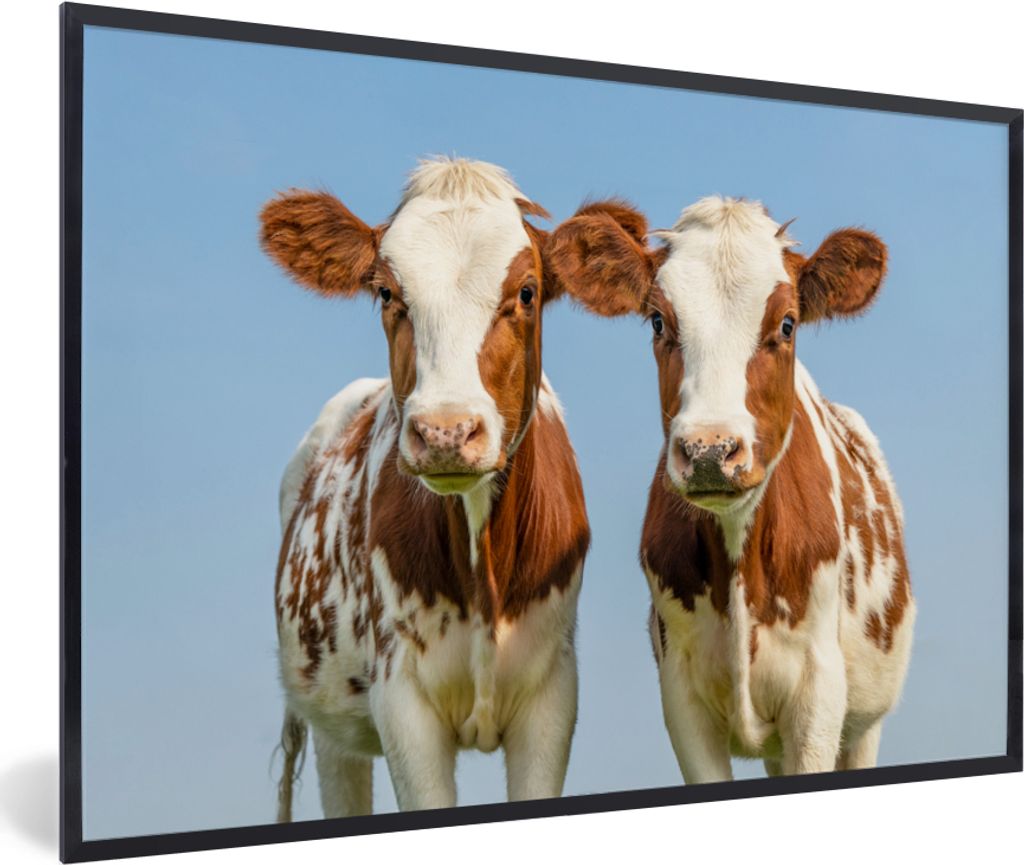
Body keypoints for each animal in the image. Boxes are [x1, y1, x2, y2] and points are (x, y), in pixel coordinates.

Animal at [261, 158, 590, 818]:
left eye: (527, 291)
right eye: (387, 292)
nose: (445, 430)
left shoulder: (553, 696)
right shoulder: (401, 701)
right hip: (334, 722)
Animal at [547, 196, 914, 779]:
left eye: (787, 323)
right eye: (658, 320)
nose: (709, 451)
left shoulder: (818, 696)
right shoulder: (682, 696)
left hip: (865, 722)